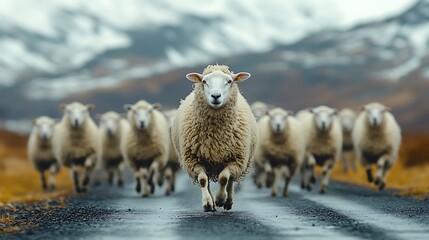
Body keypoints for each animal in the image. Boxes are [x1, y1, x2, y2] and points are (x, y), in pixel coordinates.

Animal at [171, 64, 258, 212]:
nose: (215, 96)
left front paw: (220, 199)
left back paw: (228, 202)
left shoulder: (236, 159)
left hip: (238, 162)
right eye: (204, 81)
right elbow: (203, 180)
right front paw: (208, 203)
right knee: (208, 181)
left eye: (229, 81)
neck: (215, 136)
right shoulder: (194, 159)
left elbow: (224, 178)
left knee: (231, 180)